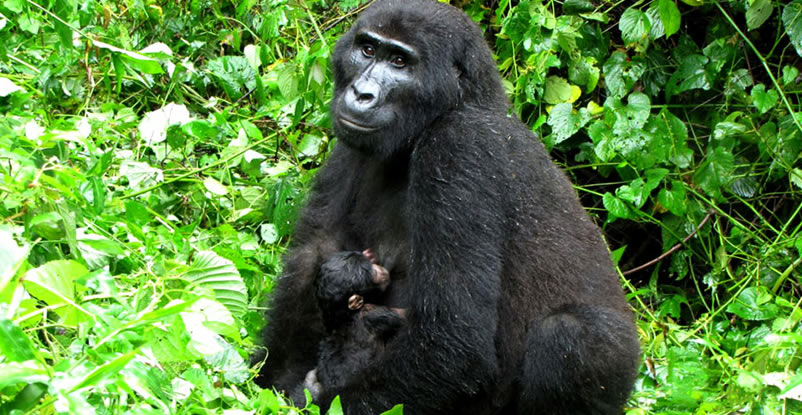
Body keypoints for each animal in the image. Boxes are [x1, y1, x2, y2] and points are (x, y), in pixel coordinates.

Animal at [260, 1, 640, 414]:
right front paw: (269, 379)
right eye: (367, 50)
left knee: (572, 335)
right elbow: (315, 254)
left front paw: (313, 396)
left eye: (400, 62)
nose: (361, 93)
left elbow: (455, 341)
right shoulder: (354, 139)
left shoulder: (459, 145)